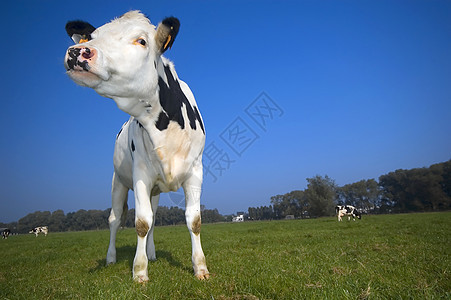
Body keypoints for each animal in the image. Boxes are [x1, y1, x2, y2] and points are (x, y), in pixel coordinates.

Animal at [64, 11, 210, 284]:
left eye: (141, 41)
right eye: (93, 36)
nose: (77, 52)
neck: (164, 125)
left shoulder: (195, 171)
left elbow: (193, 220)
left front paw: (201, 268)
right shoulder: (140, 173)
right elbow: (141, 222)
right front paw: (140, 271)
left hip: (155, 191)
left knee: (152, 219)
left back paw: (151, 254)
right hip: (118, 182)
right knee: (114, 220)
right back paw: (112, 258)